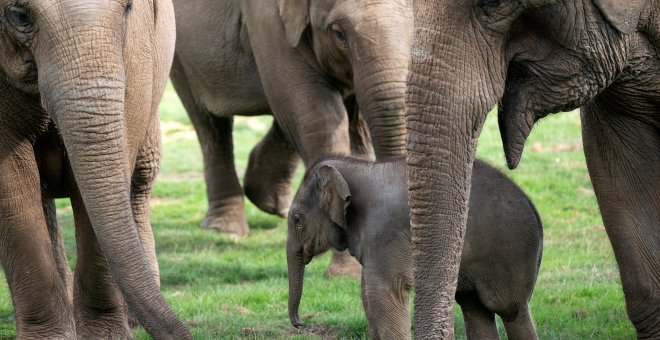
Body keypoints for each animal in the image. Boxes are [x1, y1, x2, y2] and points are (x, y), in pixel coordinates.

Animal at [0, 1, 191, 338]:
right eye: (19, 15)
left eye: (128, 8)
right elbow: (11, 184)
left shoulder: (135, 50)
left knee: (141, 179)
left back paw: (133, 320)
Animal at [288, 157, 540, 340]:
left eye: (297, 220)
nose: (300, 323)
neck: (359, 166)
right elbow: (367, 291)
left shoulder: (385, 232)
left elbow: (382, 292)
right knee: (474, 308)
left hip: (513, 255)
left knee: (510, 309)